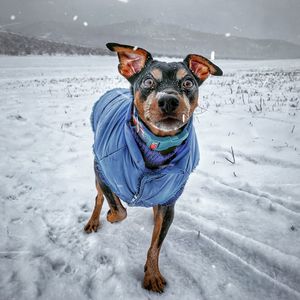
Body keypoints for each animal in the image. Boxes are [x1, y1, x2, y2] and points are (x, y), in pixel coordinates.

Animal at [84, 42, 223, 292]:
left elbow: (156, 244)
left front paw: (152, 275)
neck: (157, 145)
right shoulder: (103, 172)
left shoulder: (169, 200)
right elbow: (119, 210)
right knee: (99, 197)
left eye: (188, 83)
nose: (168, 100)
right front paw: (110, 215)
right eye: (148, 81)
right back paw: (93, 221)